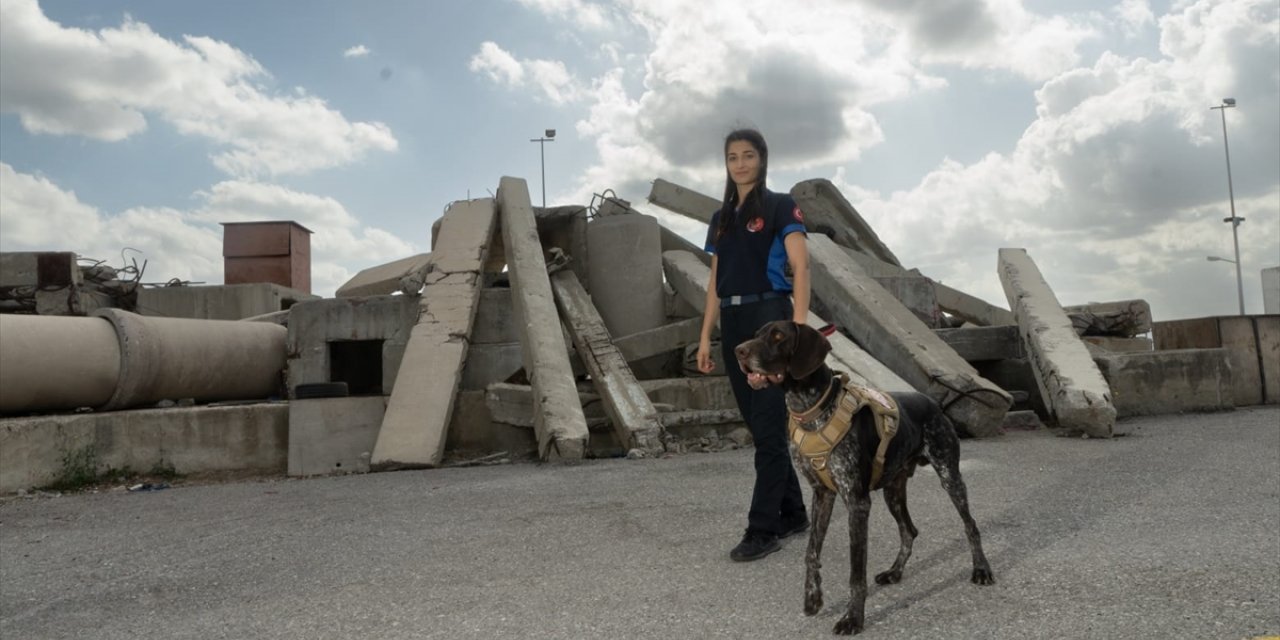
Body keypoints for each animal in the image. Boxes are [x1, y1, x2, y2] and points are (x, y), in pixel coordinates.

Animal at [737, 320, 993, 634]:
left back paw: (981, 569)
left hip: (949, 476)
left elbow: (856, 573)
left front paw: (853, 618)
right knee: (909, 531)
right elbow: (811, 552)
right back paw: (895, 572)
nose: (738, 351)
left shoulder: (857, 503)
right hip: (892, 491)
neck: (811, 409)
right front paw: (813, 598)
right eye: (758, 334)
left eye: (777, 336)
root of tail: (932, 403)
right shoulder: (823, 494)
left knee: (971, 526)